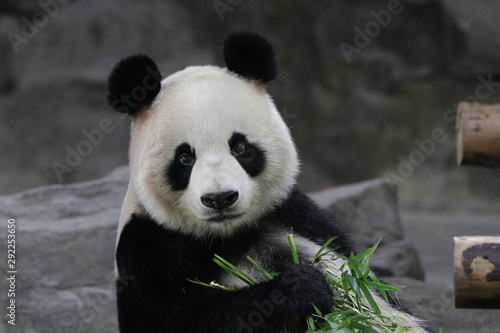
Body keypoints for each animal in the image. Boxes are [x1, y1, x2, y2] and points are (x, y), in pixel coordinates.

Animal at [108, 31, 426, 332]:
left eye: (239, 147)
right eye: (185, 158)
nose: (220, 198)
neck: (228, 235)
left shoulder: (297, 216)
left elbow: (371, 287)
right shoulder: (147, 244)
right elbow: (178, 318)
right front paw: (300, 287)